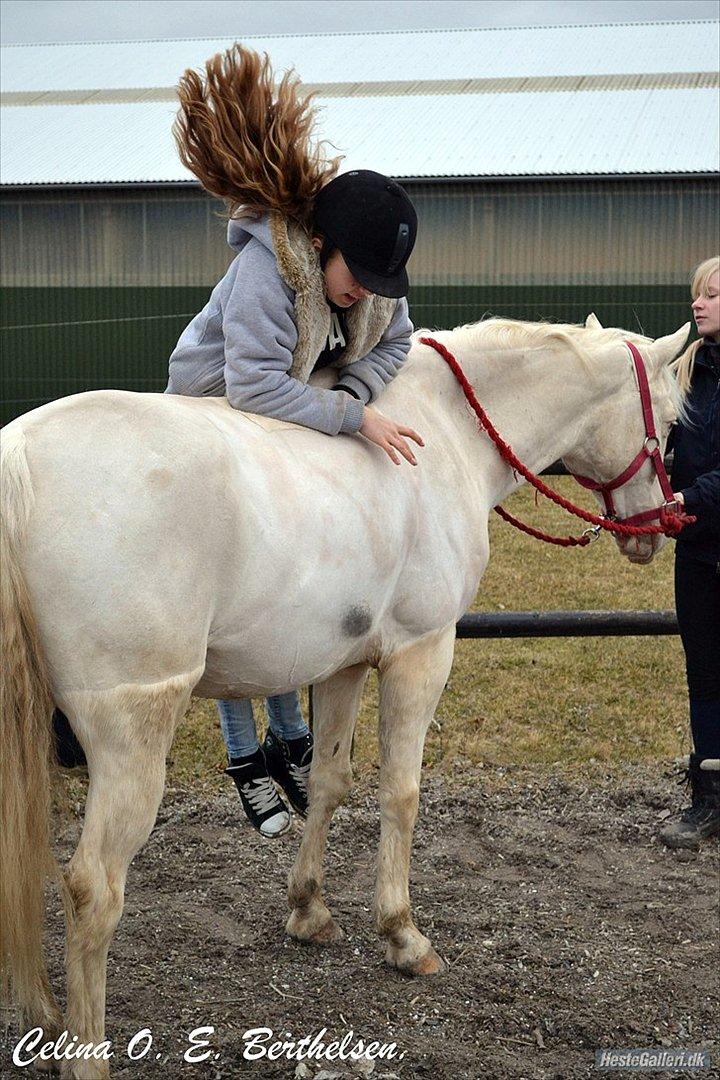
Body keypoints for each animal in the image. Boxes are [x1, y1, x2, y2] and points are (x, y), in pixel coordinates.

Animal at [0, 313, 686, 1071]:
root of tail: (21, 460)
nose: (660, 526)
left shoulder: (342, 665)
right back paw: (84, 1051)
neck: (446, 431)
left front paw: (309, 910)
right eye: (670, 421)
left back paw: (43, 1015)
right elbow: (401, 793)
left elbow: (329, 782)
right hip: (132, 737)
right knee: (93, 889)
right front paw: (403, 935)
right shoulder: (423, 651)